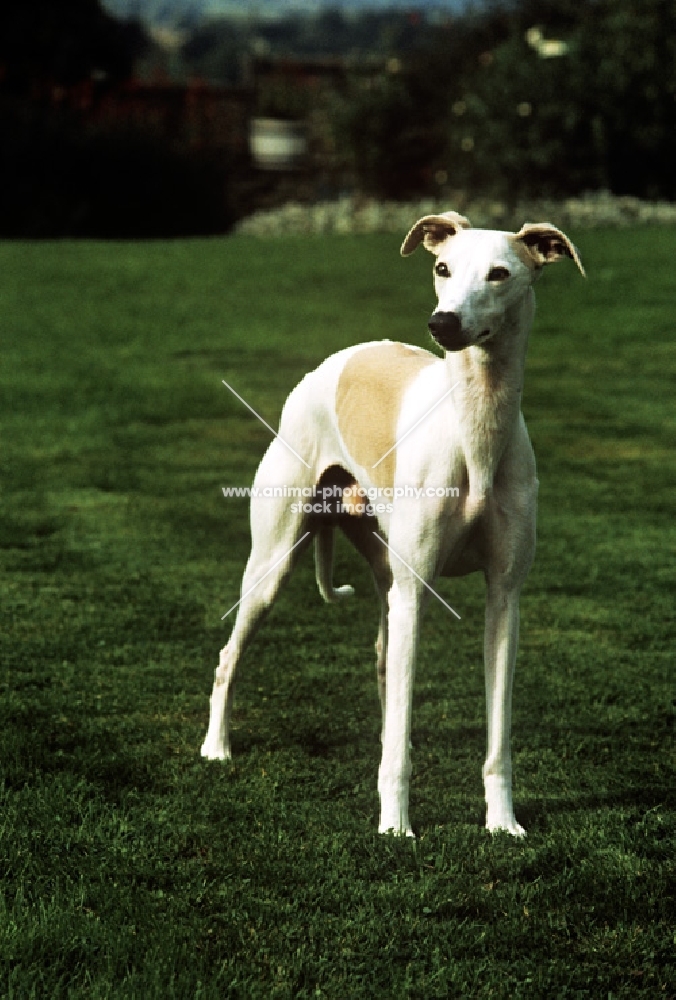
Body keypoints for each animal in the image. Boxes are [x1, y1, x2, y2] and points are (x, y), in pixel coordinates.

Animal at [199, 213, 580, 836]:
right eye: (442, 267)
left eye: (500, 274)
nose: (442, 323)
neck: (475, 433)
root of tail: (338, 359)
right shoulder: (416, 592)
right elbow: (402, 733)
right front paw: (395, 827)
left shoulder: (505, 598)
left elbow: (497, 733)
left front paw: (503, 823)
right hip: (275, 564)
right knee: (229, 657)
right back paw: (216, 748)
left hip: (385, 576)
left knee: (383, 666)